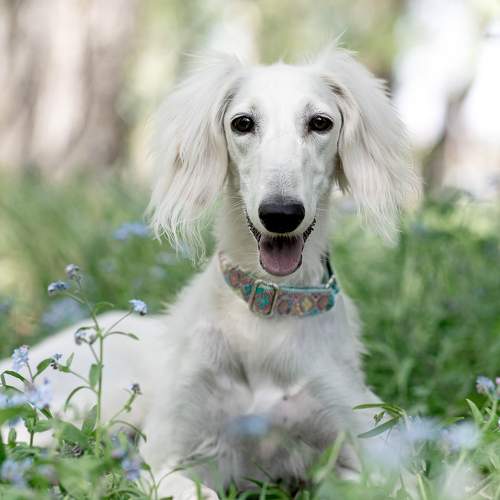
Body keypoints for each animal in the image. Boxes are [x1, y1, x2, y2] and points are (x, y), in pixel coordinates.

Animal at [1, 44, 421, 499]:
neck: (265, 317)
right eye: (243, 123)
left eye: (320, 123)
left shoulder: (366, 449)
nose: (281, 214)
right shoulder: (167, 459)